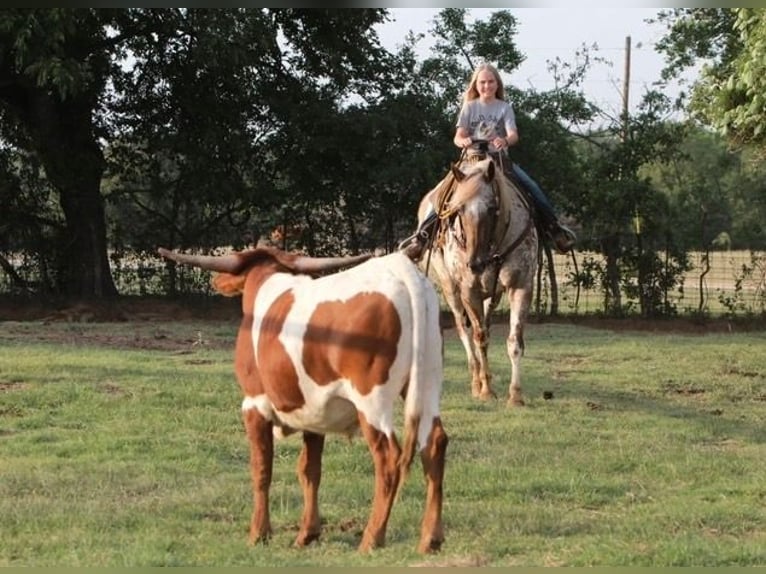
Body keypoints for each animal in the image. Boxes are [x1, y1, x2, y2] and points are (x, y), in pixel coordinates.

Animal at [416, 155, 536, 408]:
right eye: (459, 209)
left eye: (492, 208)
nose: (475, 263)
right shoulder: (469, 291)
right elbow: (479, 338)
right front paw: (486, 390)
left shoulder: (521, 286)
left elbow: (514, 341)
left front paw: (515, 395)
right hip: (450, 289)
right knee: (464, 330)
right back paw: (475, 380)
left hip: (492, 294)